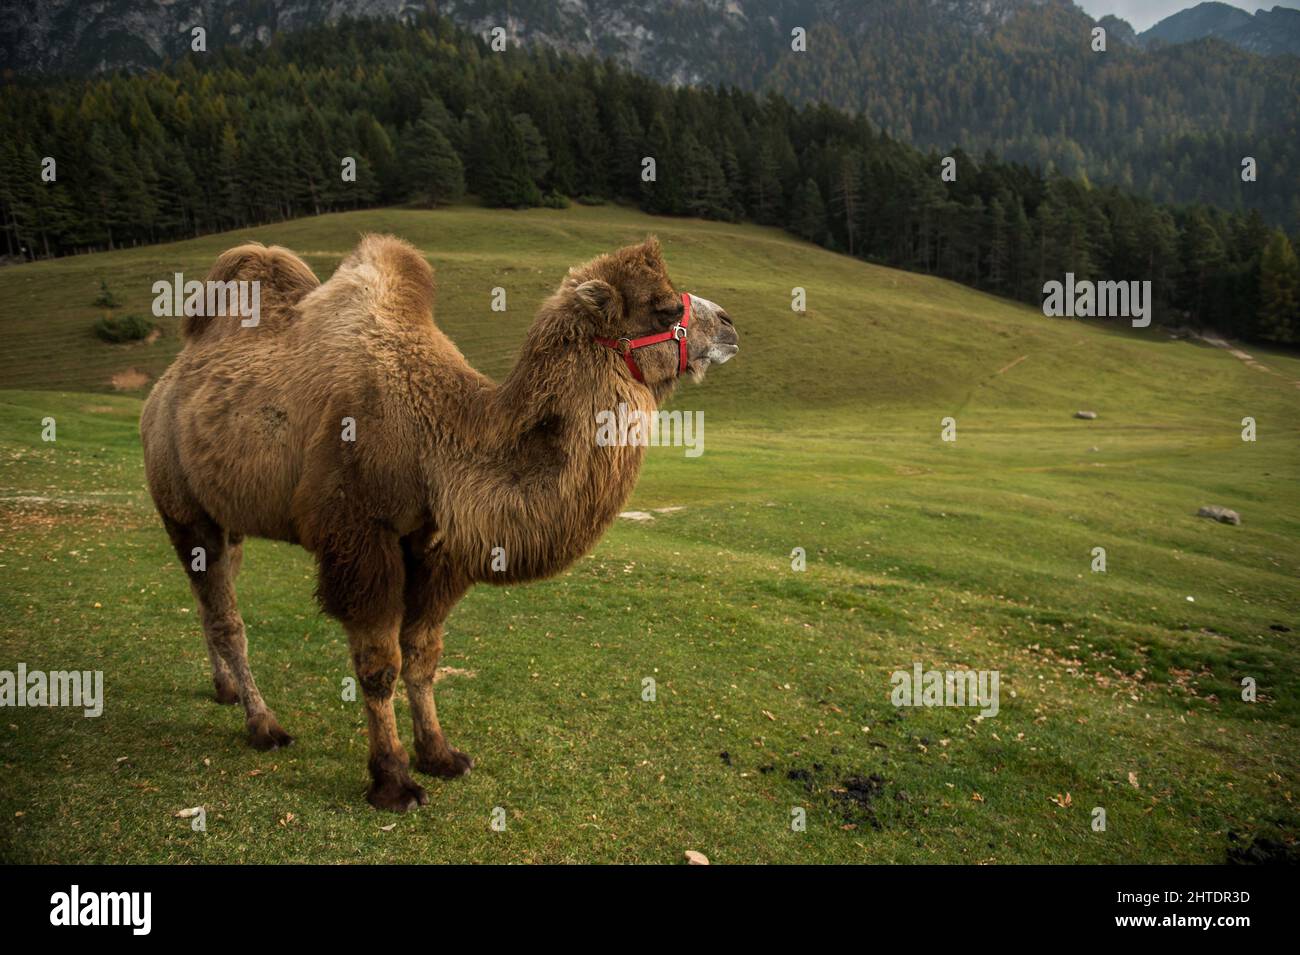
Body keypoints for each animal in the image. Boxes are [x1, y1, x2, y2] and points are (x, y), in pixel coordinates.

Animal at [140, 234, 739, 810]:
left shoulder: (437, 548)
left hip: (229, 517)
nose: (729, 324)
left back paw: (226, 690)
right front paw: (392, 781)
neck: (438, 436)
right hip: (181, 506)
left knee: (214, 598)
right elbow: (380, 664)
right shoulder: (361, 538)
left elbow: (423, 657)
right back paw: (263, 724)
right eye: (664, 307)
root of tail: (164, 387)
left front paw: (440, 754)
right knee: (227, 617)